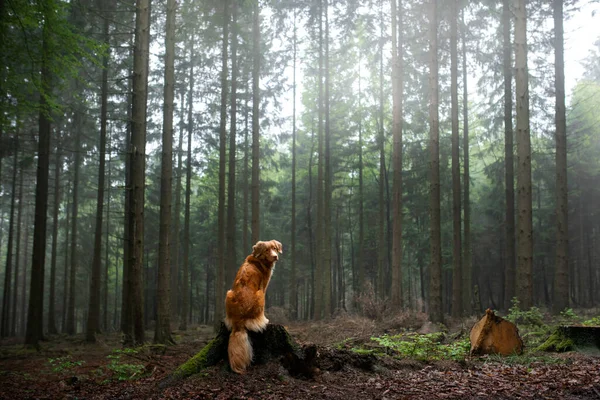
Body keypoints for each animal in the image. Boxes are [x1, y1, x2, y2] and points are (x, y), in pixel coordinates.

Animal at [225, 239, 284, 374]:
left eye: (274, 248)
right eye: (267, 250)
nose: (275, 256)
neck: (259, 259)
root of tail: (239, 321)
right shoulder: (264, 286)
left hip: (228, 293)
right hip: (260, 294)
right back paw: (265, 321)